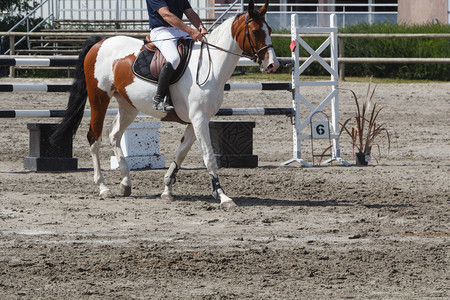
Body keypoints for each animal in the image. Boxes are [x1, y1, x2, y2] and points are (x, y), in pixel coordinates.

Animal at [51, 0, 280, 209]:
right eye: (255, 31)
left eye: (269, 30)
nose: (272, 65)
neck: (211, 64)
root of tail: (101, 42)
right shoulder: (199, 119)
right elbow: (209, 157)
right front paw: (223, 196)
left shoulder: (195, 121)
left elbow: (181, 154)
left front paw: (167, 189)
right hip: (99, 98)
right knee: (94, 138)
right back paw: (103, 188)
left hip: (128, 105)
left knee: (114, 134)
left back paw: (125, 183)